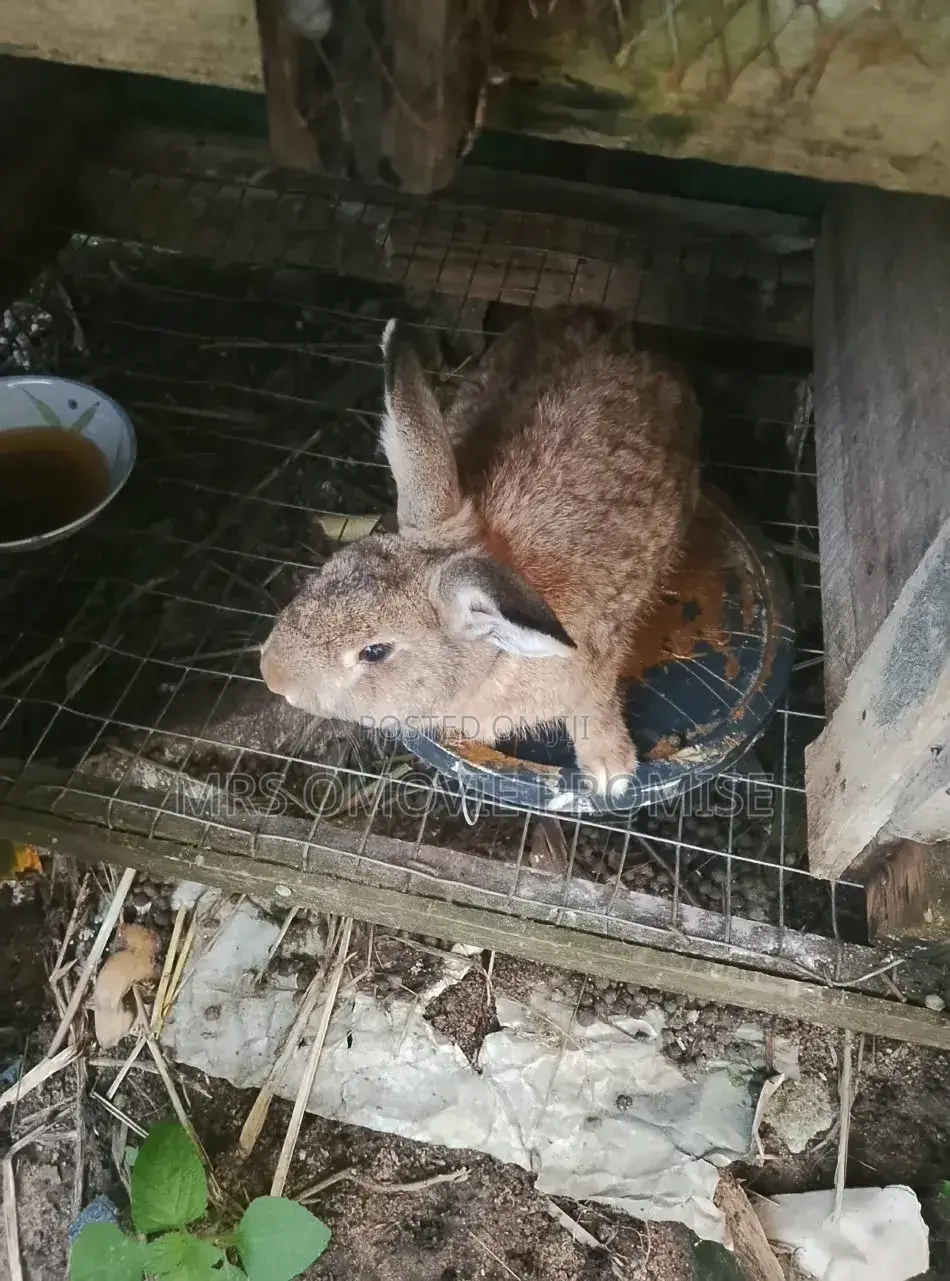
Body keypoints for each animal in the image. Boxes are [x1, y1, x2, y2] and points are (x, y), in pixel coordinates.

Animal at [261, 304, 701, 800]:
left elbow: (595, 710)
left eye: (374, 651)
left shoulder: (596, 669)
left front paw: (612, 773)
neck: (493, 656)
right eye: (331, 568)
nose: (272, 674)